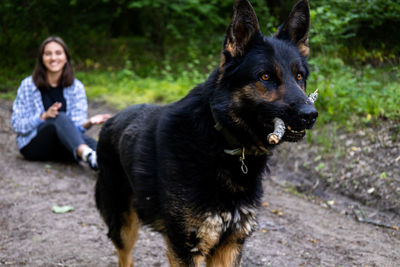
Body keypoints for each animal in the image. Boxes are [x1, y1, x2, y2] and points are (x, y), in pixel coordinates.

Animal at [95, 1, 318, 266]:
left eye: (299, 76)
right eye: (265, 77)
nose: (310, 114)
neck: (220, 140)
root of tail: (111, 120)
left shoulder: (230, 245)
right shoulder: (185, 247)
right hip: (124, 224)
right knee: (125, 255)